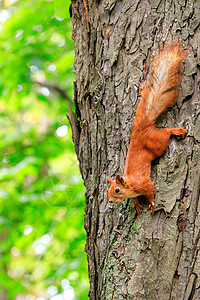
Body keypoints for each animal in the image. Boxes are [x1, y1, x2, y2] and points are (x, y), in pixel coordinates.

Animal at [108, 42, 188, 214]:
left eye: (117, 190)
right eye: (109, 190)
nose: (110, 201)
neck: (130, 185)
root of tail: (140, 129)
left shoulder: (144, 183)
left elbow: (150, 191)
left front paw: (151, 203)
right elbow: (135, 199)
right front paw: (137, 204)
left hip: (157, 144)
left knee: (165, 132)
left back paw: (176, 131)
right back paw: (144, 89)